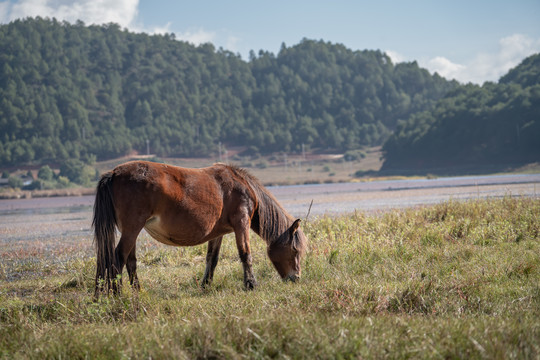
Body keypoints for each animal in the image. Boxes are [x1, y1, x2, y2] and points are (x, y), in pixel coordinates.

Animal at [93, 160, 308, 296]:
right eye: (295, 250)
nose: (296, 278)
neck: (243, 187)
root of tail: (114, 173)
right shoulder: (241, 223)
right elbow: (245, 254)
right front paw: (251, 284)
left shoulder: (218, 233)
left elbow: (212, 259)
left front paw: (206, 285)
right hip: (132, 229)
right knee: (118, 257)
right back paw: (117, 294)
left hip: (132, 231)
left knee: (130, 261)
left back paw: (136, 291)